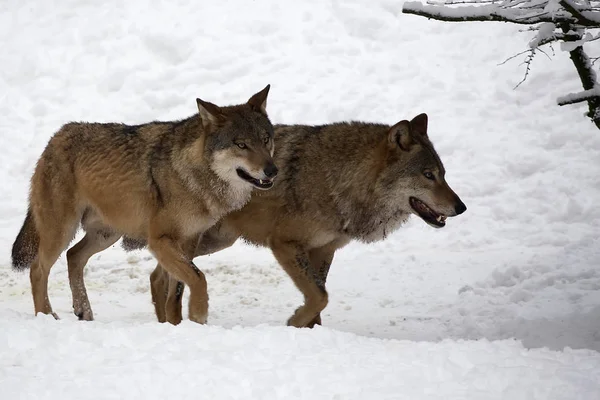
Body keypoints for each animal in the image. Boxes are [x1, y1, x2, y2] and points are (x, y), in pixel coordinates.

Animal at [9, 85, 276, 324]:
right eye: (241, 144)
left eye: (265, 140)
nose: (273, 170)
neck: (194, 173)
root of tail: (55, 137)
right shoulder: (159, 240)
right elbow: (198, 278)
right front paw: (198, 315)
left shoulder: (189, 240)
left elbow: (177, 291)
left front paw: (176, 324)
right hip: (62, 231)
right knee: (38, 269)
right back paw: (46, 315)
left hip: (107, 235)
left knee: (73, 256)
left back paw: (83, 310)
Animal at [138, 113, 466, 328]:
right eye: (428, 175)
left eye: (443, 174)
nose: (461, 207)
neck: (339, 179)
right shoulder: (284, 244)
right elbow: (319, 296)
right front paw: (295, 322)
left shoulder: (324, 249)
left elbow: (320, 296)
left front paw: (312, 332)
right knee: (167, 279)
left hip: (212, 241)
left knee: (158, 276)